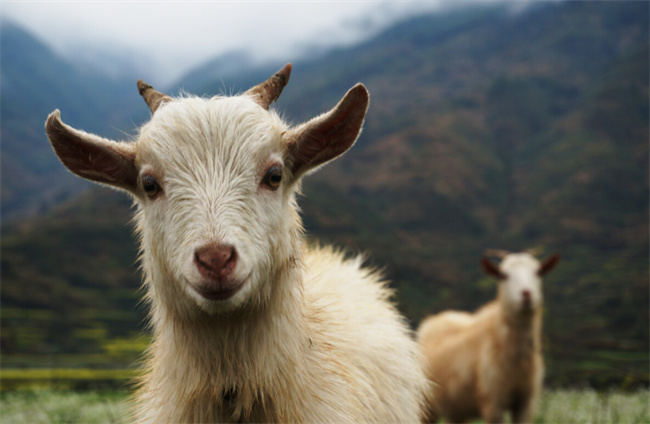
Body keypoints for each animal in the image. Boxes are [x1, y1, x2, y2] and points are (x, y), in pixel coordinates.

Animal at [418, 250, 560, 422]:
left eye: (538, 272)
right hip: (426, 406)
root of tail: (435, 318)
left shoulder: (525, 401)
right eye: (503, 275)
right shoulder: (492, 401)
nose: (526, 294)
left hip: (456, 408)